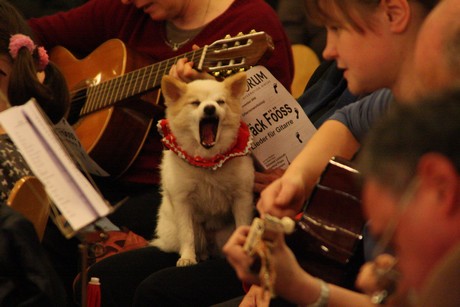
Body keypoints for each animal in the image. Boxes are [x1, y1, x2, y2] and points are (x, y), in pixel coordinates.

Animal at [154, 73, 255, 268]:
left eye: (220, 102)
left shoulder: (242, 198)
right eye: (195, 103)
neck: (208, 161)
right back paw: (199, 255)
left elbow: (242, 225)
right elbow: (187, 234)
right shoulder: (182, 202)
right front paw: (187, 257)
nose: (209, 108)